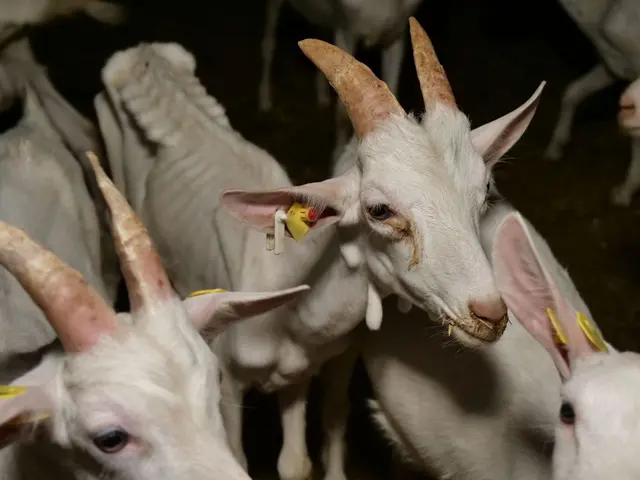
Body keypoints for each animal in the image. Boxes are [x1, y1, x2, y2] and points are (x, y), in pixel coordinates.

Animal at [259, 0, 424, 160]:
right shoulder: (346, 30)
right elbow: (342, 113)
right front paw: (338, 156)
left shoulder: (396, 34)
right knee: (268, 43)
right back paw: (265, 101)